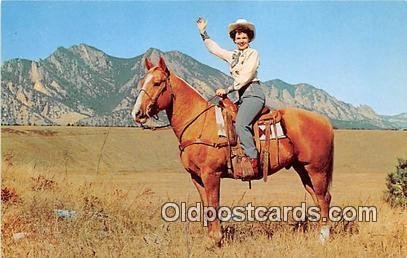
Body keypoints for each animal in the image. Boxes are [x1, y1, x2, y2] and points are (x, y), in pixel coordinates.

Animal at [134, 57, 334, 245]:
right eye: (142, 81)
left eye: (157, 83)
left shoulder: (211, 175)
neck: (199, 123)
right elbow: (206, 206)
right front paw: (210, 239)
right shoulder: (196, 177)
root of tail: (324, 120)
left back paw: (323, 237)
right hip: (302, 169)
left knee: (324, 197)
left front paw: (216, 239)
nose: (137, 113)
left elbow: (214, 205)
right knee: (317, 197)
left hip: (317, 169)